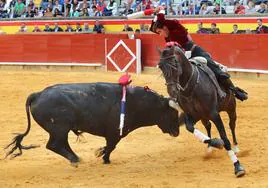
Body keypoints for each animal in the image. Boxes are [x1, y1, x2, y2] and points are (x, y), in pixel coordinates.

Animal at [5, 83, 180, 165]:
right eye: (172, 113)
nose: (177, 132)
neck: (136, 102)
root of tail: (38, 94)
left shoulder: (115, 134)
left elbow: (110, 146)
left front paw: (103, 156)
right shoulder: (114, 133)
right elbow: (111, 146)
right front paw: (105, 158)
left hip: (61, 130)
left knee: (61, 144)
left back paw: (76, 158)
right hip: (59, 128)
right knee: (54, 145)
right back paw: (75, 160)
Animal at [159, 45, 245, 178]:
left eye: (175, 63)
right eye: (160, 67)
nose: (172, 91)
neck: (191, 89)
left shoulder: (214, 114)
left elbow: (225, 138)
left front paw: (237, 167)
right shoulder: (192, 115)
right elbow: (190, 128)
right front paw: (216, 143)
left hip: (230, 107)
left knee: (232, 124)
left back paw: (236, 148)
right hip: (203, 116)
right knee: (208, 126)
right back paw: (210, 148)